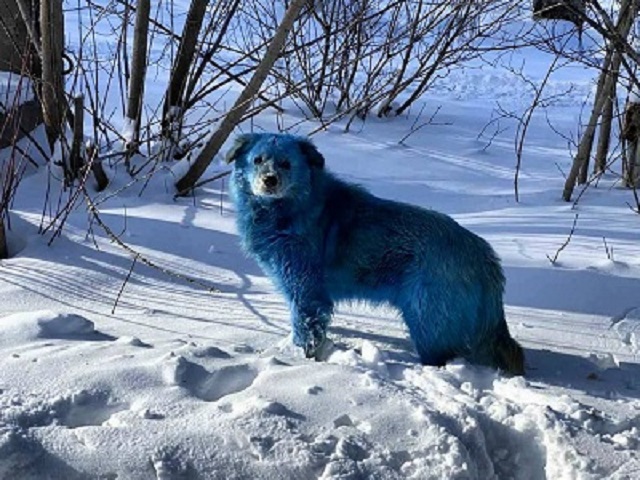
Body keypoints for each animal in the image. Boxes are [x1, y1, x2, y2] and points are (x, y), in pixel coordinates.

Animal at [228, 132, 524, 376]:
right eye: (258, 160)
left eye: (286, 163)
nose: (269, 180)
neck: (292, 208)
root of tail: (483, 255)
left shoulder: (306, 291)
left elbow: (306, 329)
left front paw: (297, 360)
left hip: (426, 319)